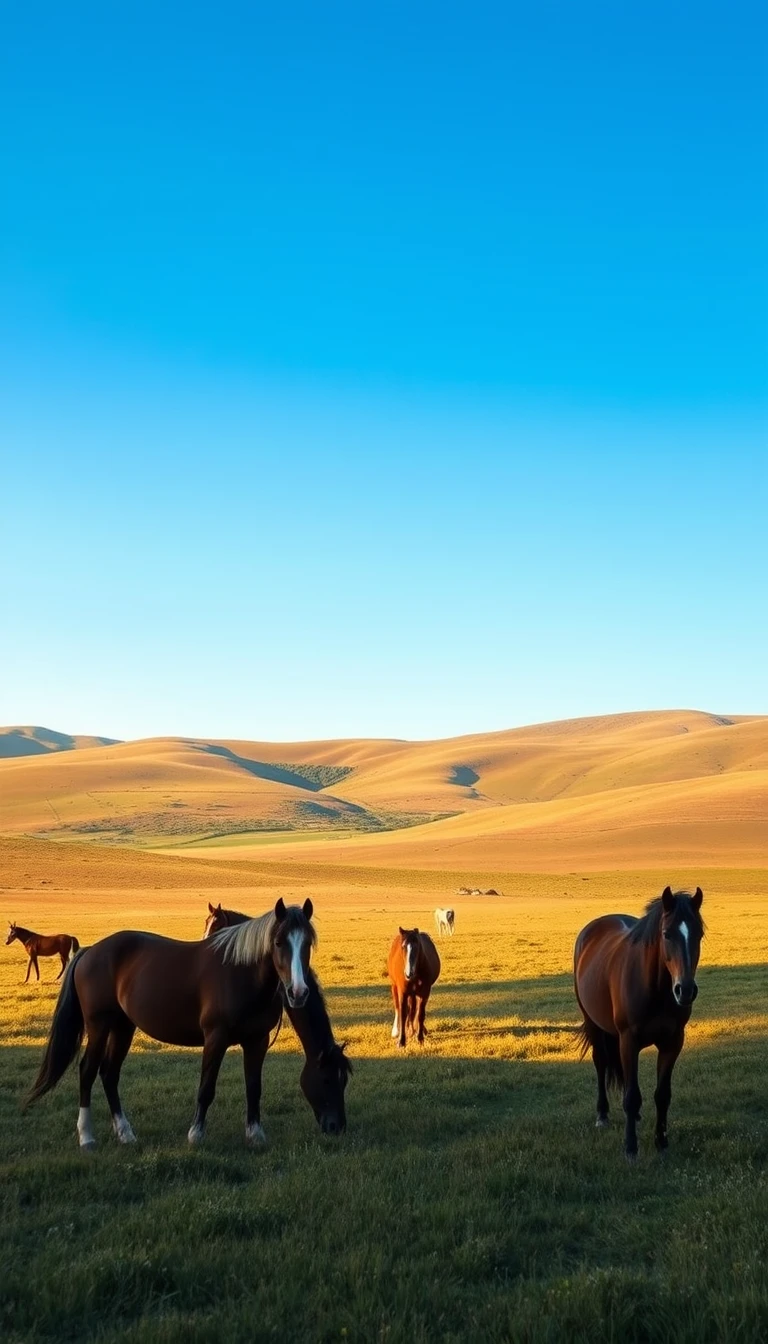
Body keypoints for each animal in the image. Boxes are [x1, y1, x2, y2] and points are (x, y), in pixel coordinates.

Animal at [26, 898, 351, 1148]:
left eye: (307, 944)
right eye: (278, 942)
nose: (337, 1127)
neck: (243, 973)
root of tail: (89, 951)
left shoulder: (256, 1040)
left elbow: (254, 1087)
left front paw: (255, 1135)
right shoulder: (216, 1038)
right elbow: (206, 1088)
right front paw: (196, 1135)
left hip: (123, 1027)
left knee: (109, 1074)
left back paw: (126, 1134)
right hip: (99, 1026)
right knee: (87, 1072)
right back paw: (87, 1137)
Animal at [574, 886, 704, 1159]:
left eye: (699, 934)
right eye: (666, 934)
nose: (685, 990)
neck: (654, 988)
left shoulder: (672, 1042)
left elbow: (662, 1095)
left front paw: (661, 1143)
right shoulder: (629, 1040)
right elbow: (632, 1096)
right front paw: (631, 1148)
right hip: (594, 1024)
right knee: (601, 1063)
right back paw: (602, 1114)